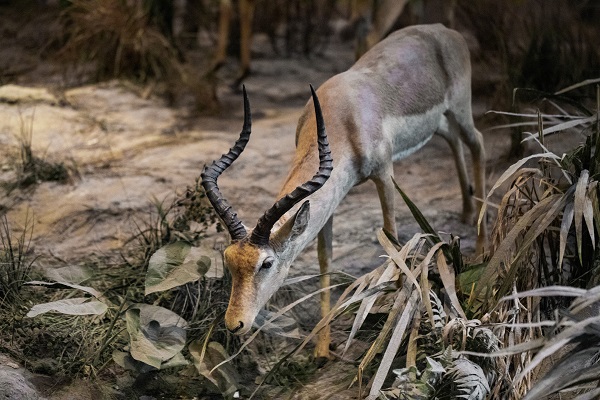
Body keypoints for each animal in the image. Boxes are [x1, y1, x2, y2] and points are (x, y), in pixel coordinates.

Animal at [202, 23, 488, 358]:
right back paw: (467, 212)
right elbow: (325, 259)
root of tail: (444, 30)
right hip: (440, 121)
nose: (235, 323)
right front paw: (322, 348)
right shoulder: (331, 197)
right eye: (229, 259)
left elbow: (392, 238)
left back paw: (481, 244)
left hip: (460, 108)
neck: (344, 118)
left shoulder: (384, 174)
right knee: (453, 140)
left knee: (477, 142)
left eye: (266, 263)